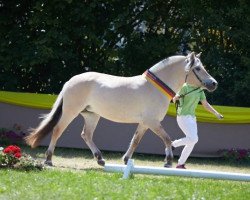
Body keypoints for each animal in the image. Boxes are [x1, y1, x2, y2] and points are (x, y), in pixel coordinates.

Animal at [24, 52, 217, 167]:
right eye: (198, 68)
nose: (213, 83)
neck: (155, 87)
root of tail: (70, 81)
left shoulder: (145, 123)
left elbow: (135, 141)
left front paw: (126, 159)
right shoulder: (152, 122)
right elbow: (167, 138)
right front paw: (168, 161)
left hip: (92, 115)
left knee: (86, 135)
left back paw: (100, 159)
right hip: (71, 112)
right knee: (57, 130)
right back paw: (48, 159)